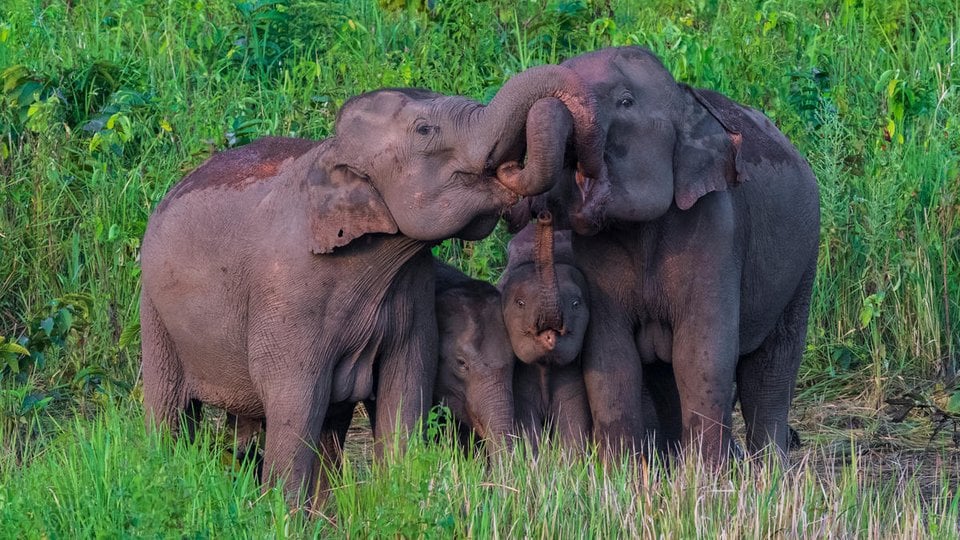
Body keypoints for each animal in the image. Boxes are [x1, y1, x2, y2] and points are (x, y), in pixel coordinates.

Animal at [139, 64, 607, 504]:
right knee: (169, 408)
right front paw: (282, 516)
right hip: (154, 307)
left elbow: (406, 387)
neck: (331, 152)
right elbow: (295, 402)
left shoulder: (413, 288)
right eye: (424, 130)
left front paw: (398, 495)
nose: (541, 209)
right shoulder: (285, 294)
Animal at [501, 46, 820, 462]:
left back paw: (768, 469)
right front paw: (620, 470)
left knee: (771, 367)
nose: (541, 211)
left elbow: (701, 353)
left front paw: (707, 475)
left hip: (804, 260)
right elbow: (611, 357)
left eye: (625, 101)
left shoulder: (717, 231)